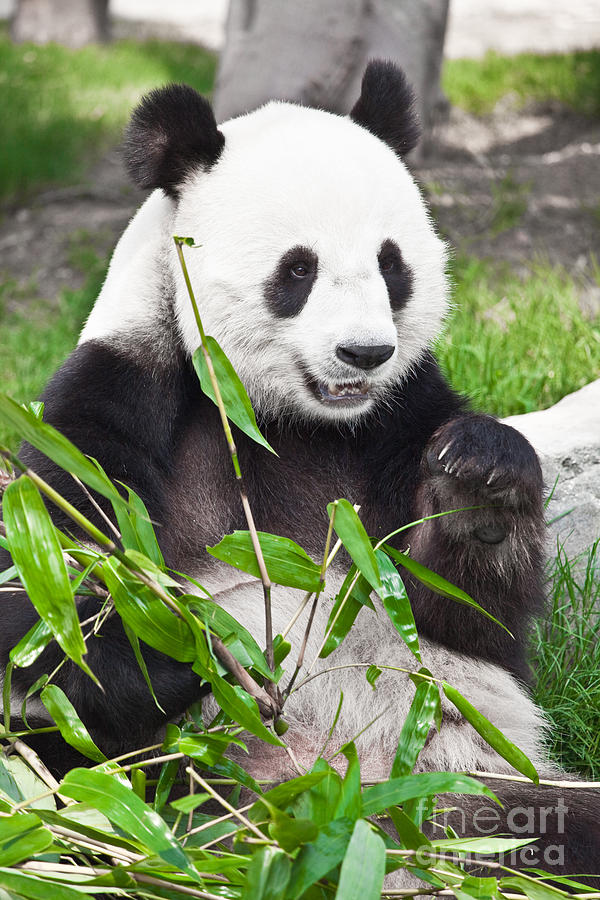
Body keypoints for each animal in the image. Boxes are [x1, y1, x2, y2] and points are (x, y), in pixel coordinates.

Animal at [1, 61, 600, 872]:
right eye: (298, 270)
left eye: (391, 264)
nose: (364, 353)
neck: (284, 418)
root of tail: (346, 808)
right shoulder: (115, 400)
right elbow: (63, 604)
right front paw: (195, 652)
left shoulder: (402, 415)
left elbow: (466, 618)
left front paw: (478, 484)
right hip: (182, 787)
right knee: (101, 774)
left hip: (473, 773)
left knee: (557, 818)